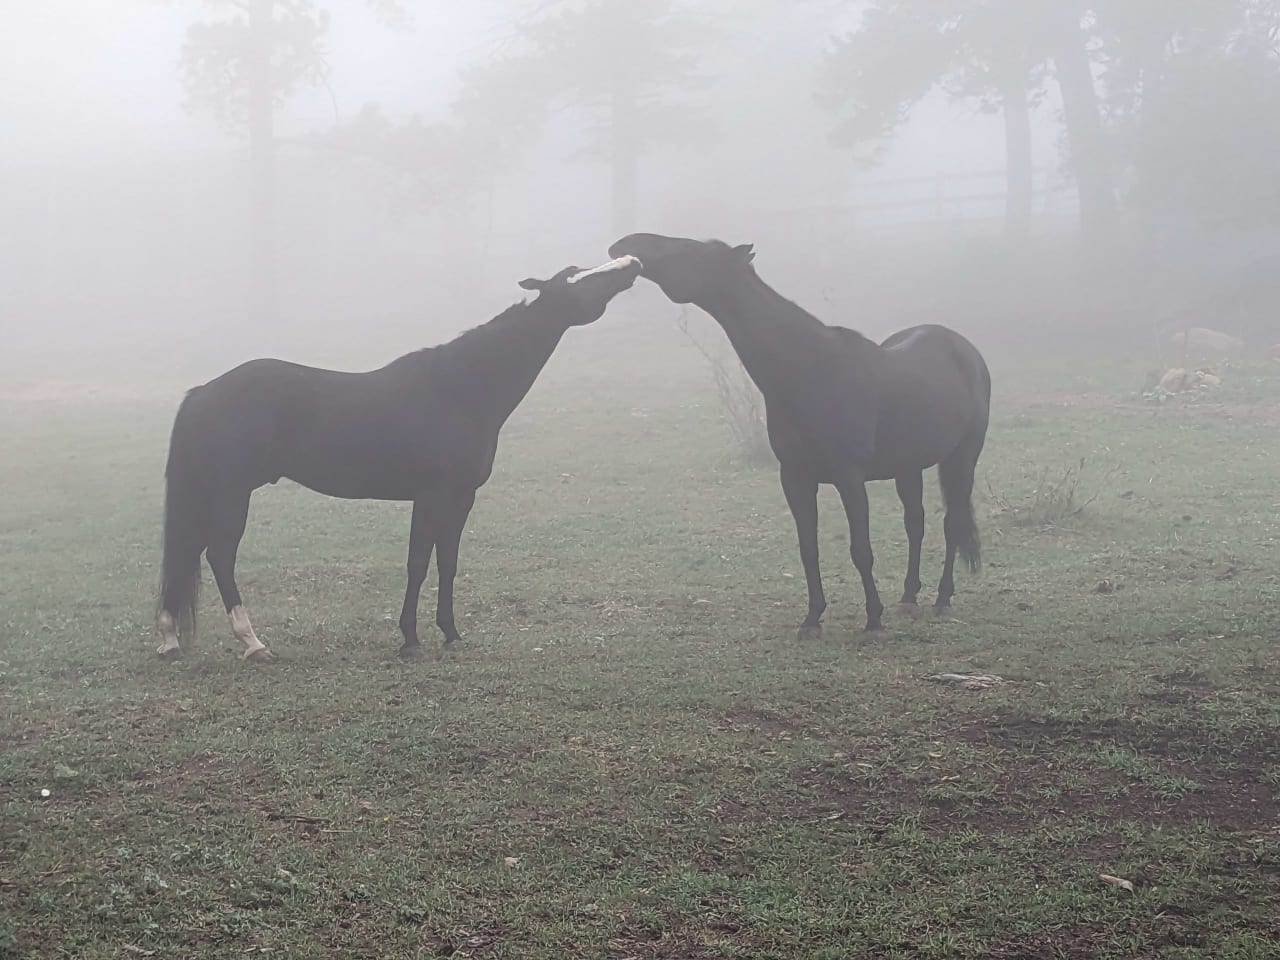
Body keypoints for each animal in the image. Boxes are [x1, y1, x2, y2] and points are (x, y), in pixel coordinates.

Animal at [154, 256, 645, 660]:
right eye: (576, 280)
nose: (633, 262)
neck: (460, 390)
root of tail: (203, 392)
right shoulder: (430, 496)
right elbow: (418, 563)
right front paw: (410, 639)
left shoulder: (461, 498)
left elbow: (448, 562)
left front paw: (451, 632)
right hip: (231, 493)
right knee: (219, 555)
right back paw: (252, 642)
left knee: (189, 551)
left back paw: (171, 639)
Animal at [609, 231, 988, 640]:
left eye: (692, 250)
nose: (624, 244)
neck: (808, 369)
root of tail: (963, 347)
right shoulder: (794, 477)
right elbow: (809, 548)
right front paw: (812, 619)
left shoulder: (849, 478)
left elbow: (861, 550)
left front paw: (873, 620)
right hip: (908, 466)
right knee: (915, 524)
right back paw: (908, 597)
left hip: (962, 457)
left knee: (952, 522)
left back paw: (942, 598)